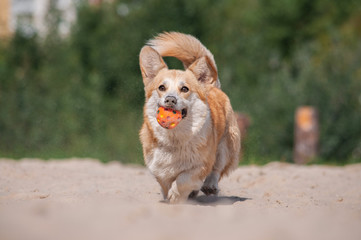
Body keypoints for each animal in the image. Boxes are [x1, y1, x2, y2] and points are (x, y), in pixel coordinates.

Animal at [139, 31, 240, 203]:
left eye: (185, 89)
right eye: (162, 87)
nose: (170, 99)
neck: (174, 138)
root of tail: (213, 86)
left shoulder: (201, 165)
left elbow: (184, 179)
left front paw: (176, 195)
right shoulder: (157, 167)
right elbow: (164, 181)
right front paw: (169, 195)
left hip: (227, 145)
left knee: (217, 168)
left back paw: (209, 185)